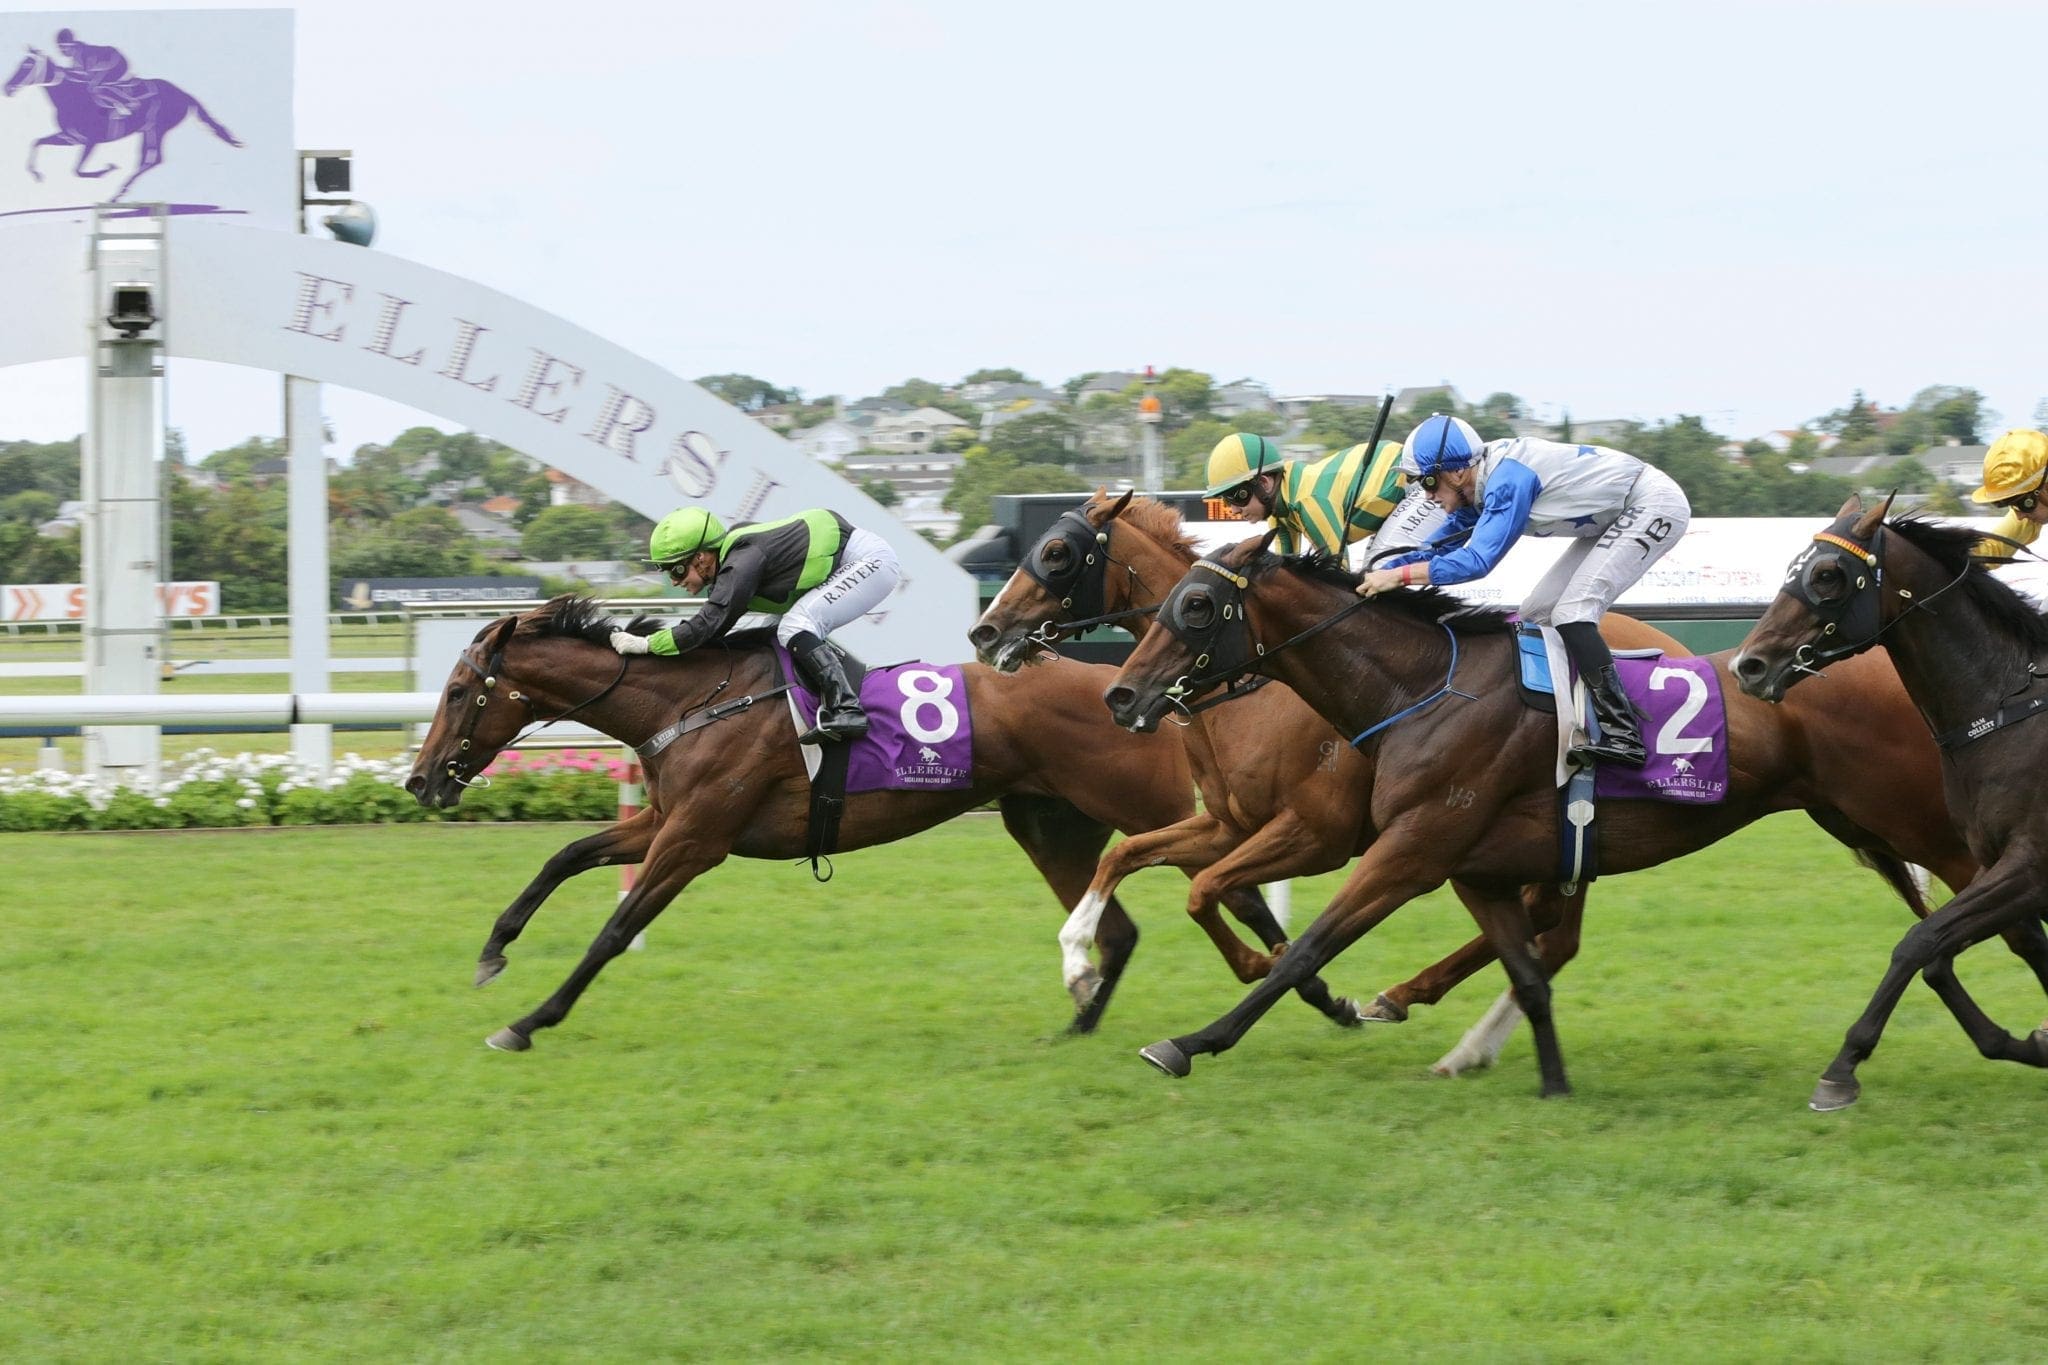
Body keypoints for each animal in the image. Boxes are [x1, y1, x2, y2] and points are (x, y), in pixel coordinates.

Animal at [399, 593, 1359, 1055]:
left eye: (459, 690)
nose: (419, 778)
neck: (691, 698)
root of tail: (1133, 689)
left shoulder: (695, 842)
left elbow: (611, 929)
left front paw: (529, 1019)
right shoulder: (666, 824)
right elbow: (564, 856)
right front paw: (494, 950)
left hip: (1145, 809)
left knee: (1237, 892)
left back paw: (1317, 993)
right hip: (1049, 826)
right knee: (1119, 925)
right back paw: (1081, 1020)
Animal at [974, 497, 1966, 1072]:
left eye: (1056, 554)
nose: (987, 632)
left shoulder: (1324, 832)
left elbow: (1217, 896)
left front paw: (1282, 989)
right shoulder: (1233, 821)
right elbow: (1151, 865)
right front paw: (1079, 961)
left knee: (1549, 937)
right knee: (1547, 936)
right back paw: (1434, 1015)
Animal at [1736, 501, 2048, 1113]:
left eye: (1826, 575)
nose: (1749, 665)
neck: (2007, 708)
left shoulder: (2030, 865)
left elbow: (1917, 942)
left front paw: (1840, 1070)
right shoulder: (1993, 862)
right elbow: (1943, 956)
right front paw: (2028, 1043)